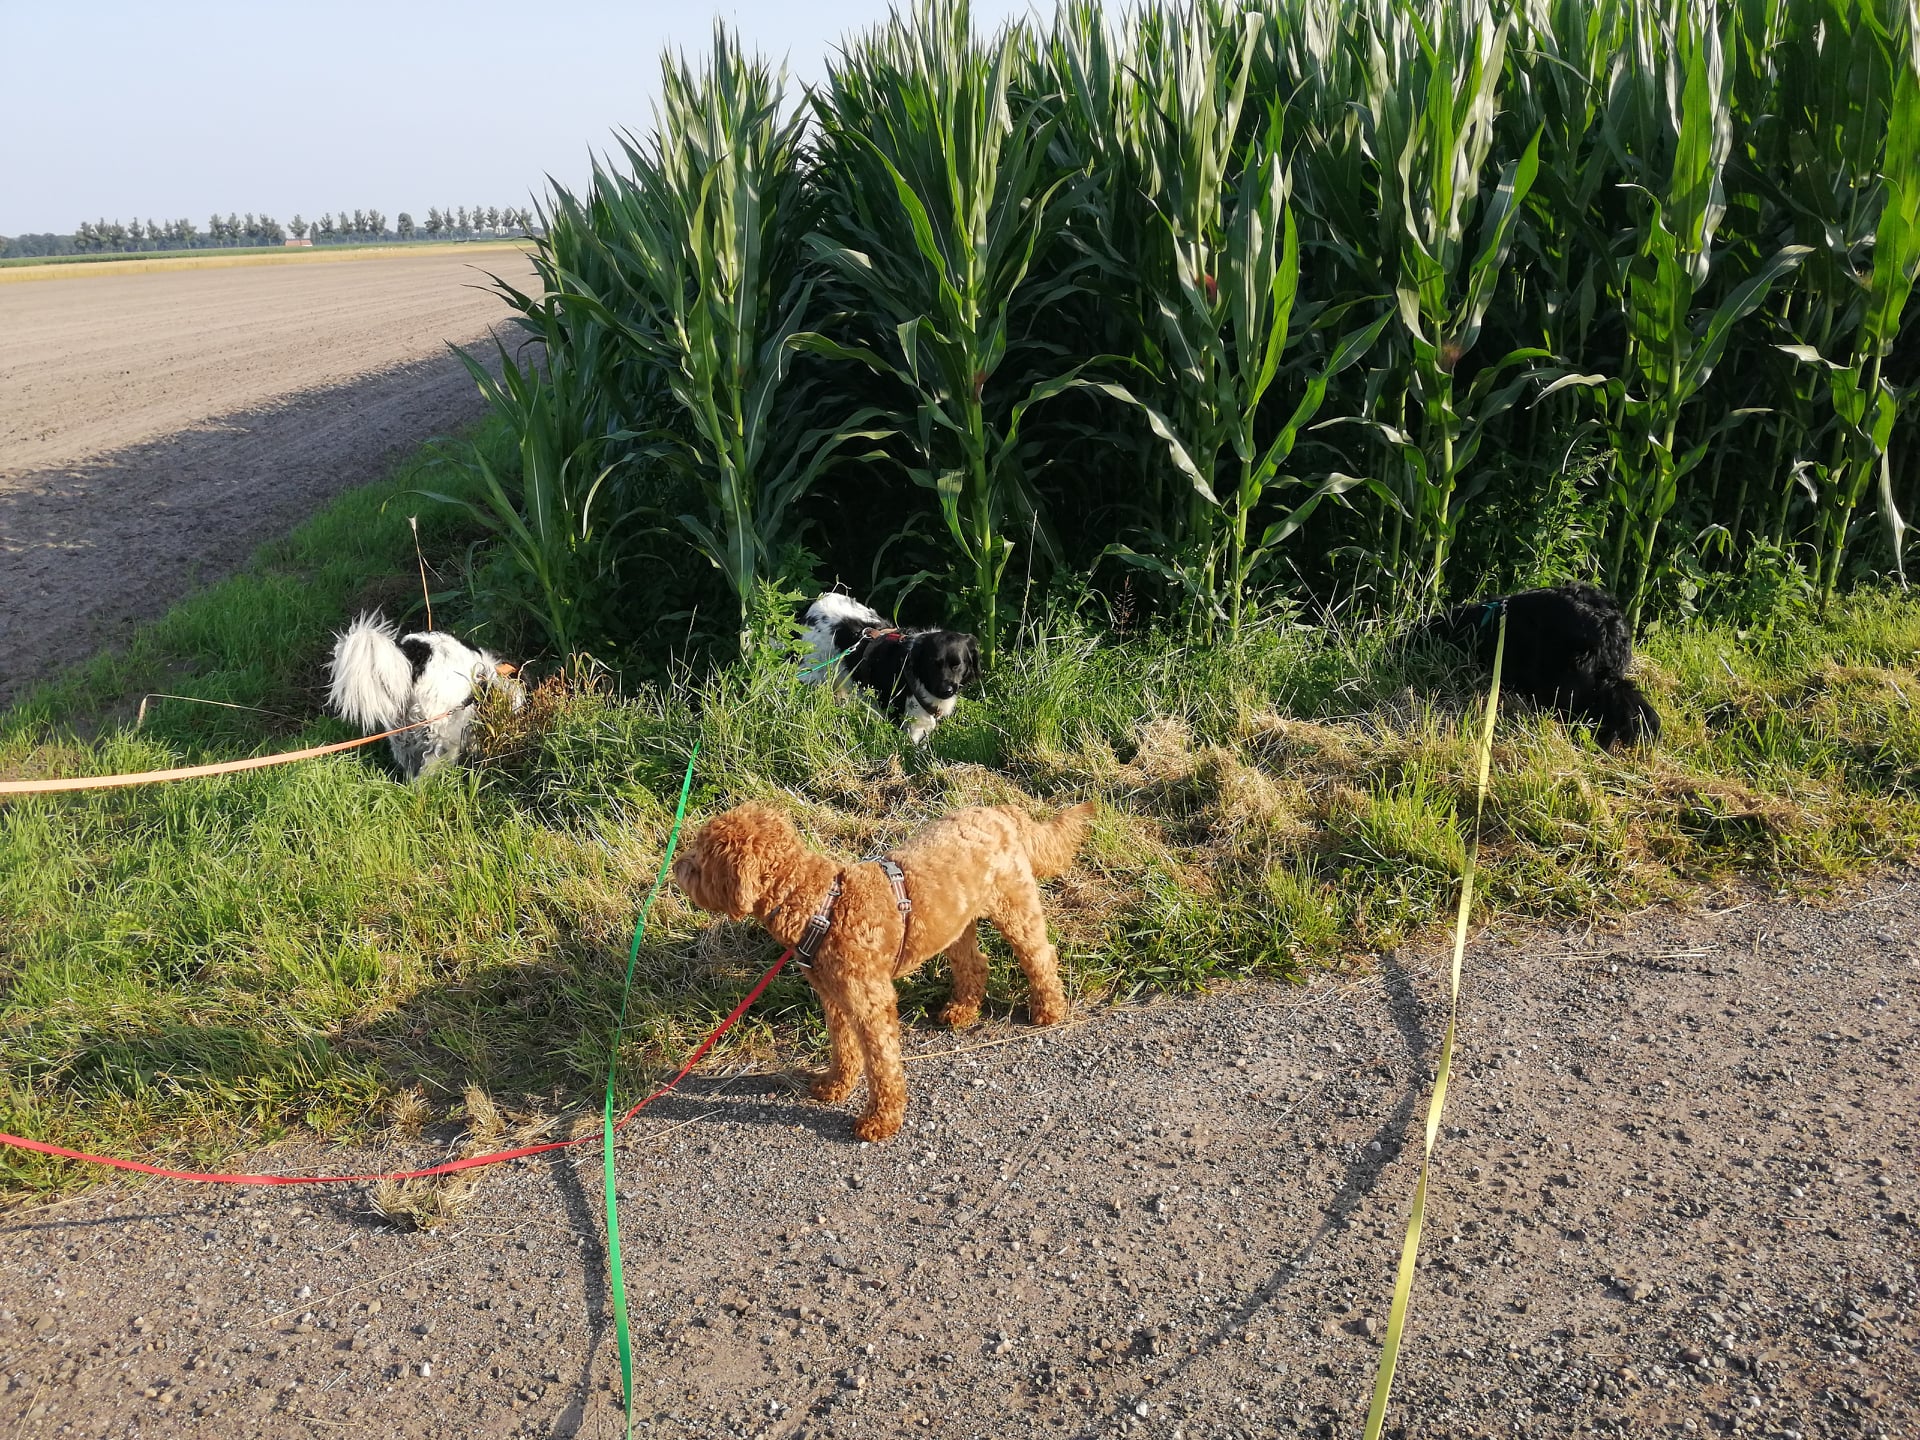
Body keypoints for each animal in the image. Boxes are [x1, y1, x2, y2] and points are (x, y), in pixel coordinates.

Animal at [672, 802, 1098, 1136]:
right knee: (974, 963)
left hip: (1014, 906)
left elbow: (882, 1064)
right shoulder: (835, 998)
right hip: (955, 921)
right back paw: (961, 1010)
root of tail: (999, 811)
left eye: (701, 856)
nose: (676, 865)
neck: (822, 905)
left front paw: (880, 1120)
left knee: (1040, 956)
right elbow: (844, 1048)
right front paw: (834, 1086)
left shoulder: (870, 1004)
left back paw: (1048, 1009)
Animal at [798, 591, 983, 744]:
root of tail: (815, 605)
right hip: (811, 676)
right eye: (932, 664)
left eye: (957, 665)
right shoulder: (911, 726)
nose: (946, 691)